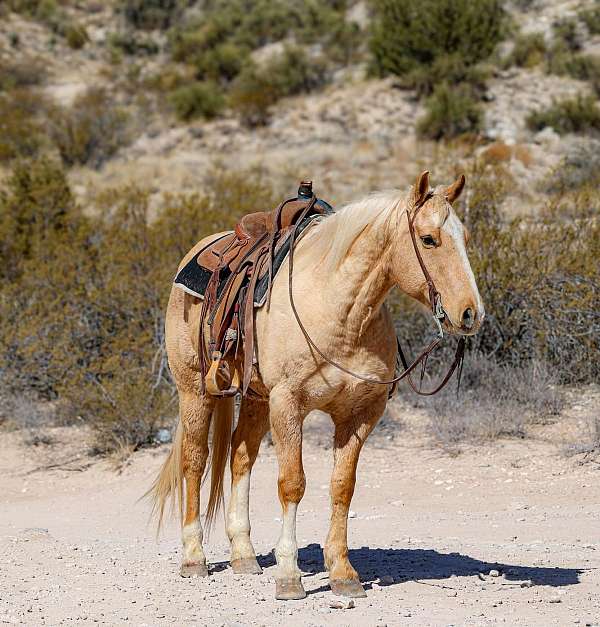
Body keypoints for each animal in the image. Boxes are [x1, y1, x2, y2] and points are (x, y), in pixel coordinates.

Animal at [149, 170, 482, 600]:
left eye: (466, 237)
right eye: (429, 239)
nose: (470, 313)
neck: (338, 310)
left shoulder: (360, 414)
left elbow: (342, 487)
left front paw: (342, 572)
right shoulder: (289, 404)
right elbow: (292, 484)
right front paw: (289, 575)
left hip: (255, 398)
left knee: (240, 457)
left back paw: (244, 554)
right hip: (194, 389)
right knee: (195, 460)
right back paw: (194, 557)